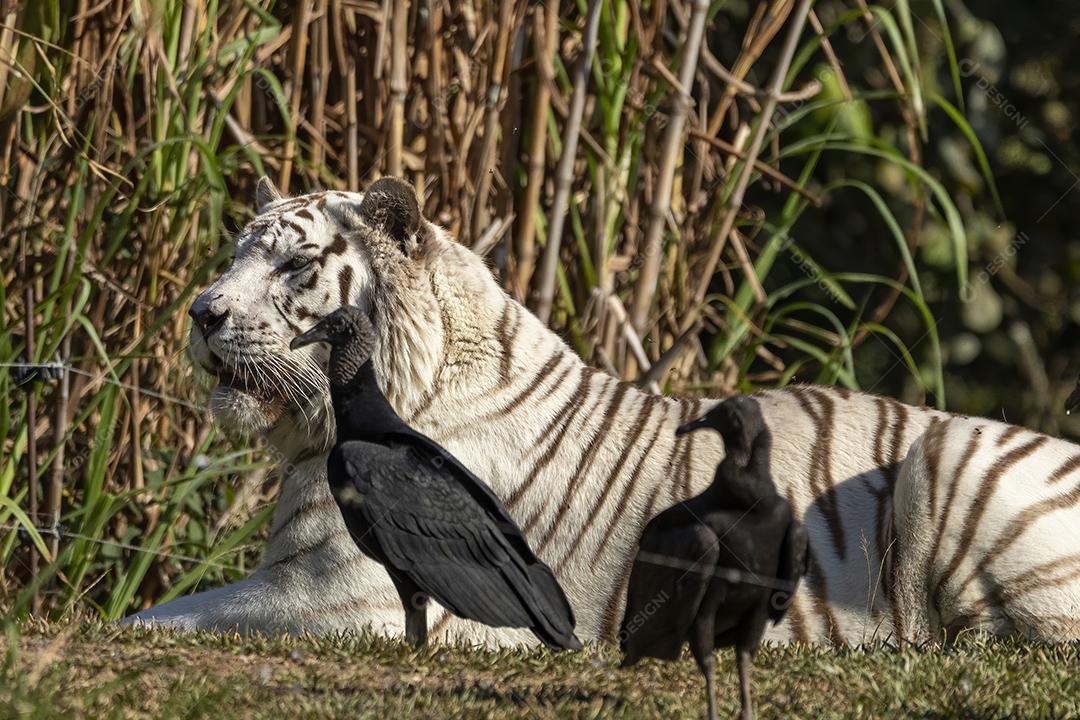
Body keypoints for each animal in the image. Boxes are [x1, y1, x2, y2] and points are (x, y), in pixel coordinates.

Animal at [124, 175, 1080, 645]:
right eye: (234, 256)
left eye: (291, 267)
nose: (201, 313)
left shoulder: (337, 594)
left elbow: (161, 618)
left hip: (941, 457)